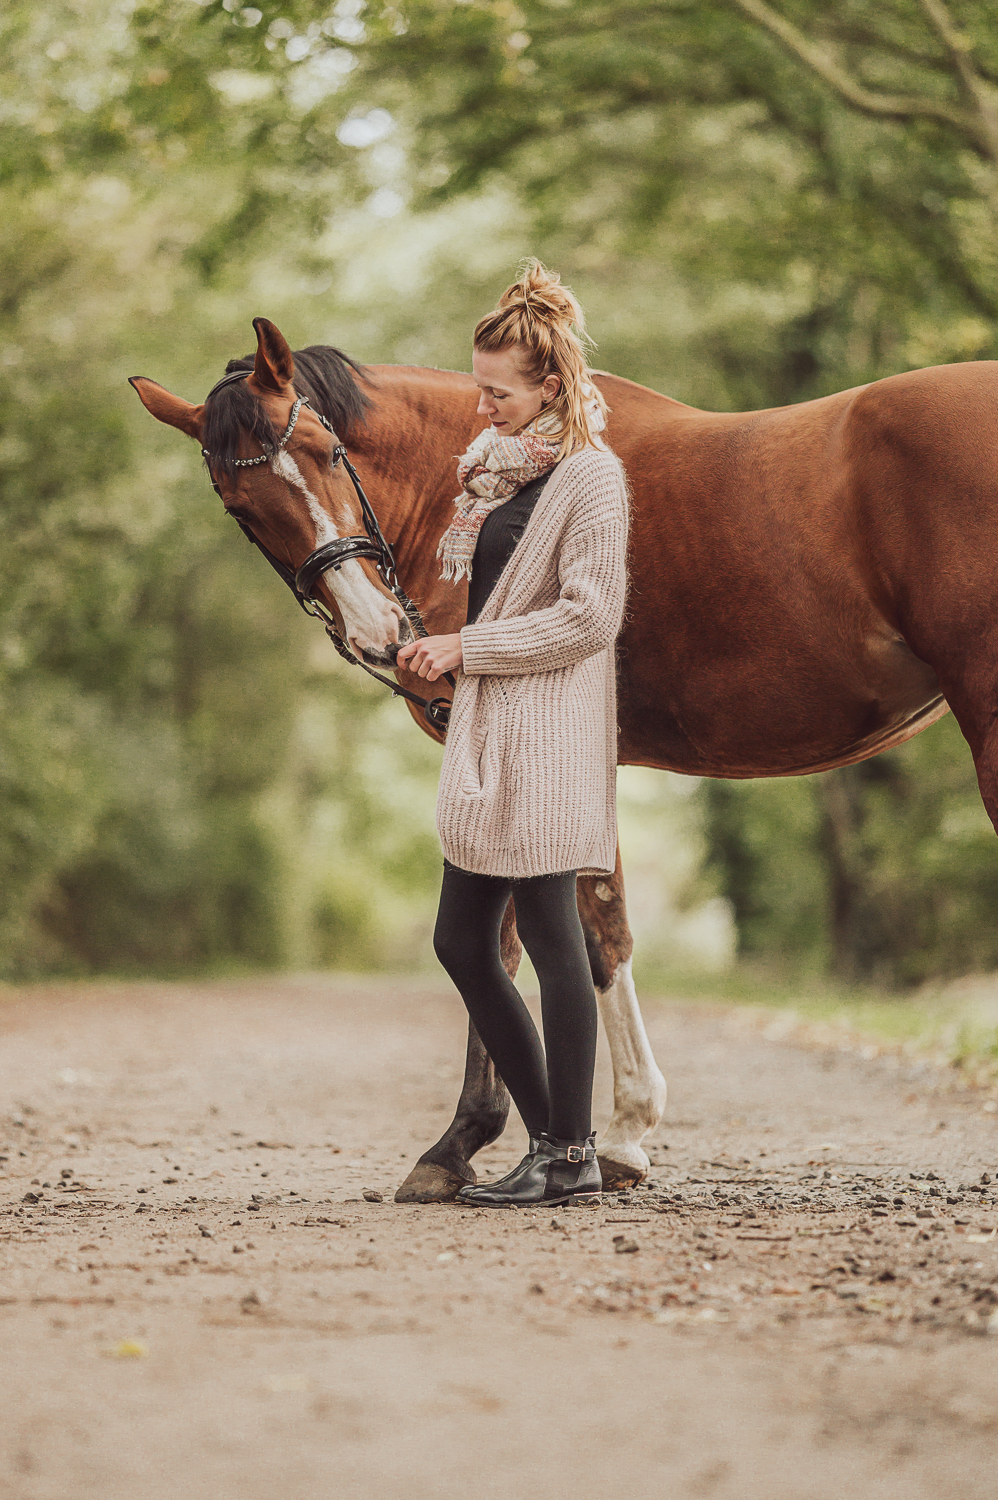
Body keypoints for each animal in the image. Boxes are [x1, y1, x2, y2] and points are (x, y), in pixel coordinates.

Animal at [132, 316, 994, 1201]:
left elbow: (574, 939)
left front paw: (591, 1136)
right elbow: (532, 940)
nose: (379, 629)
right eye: (242, 507)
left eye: (327, 450)